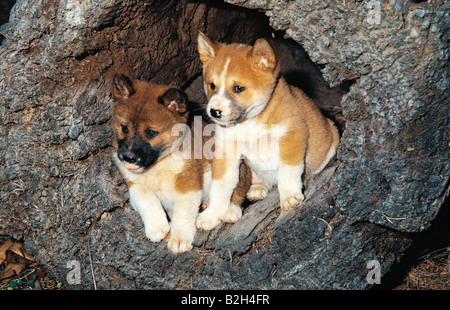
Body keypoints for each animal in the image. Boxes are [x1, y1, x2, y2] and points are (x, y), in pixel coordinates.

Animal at [109, 74, 250, 253]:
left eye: (151, 133)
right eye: (124, 128)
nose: (128, 157)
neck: (159, 165)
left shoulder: (187, 183)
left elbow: (183, 214)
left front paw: (179, 239)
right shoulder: (134, 183)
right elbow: (146, 199)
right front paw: (157, 227)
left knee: (240, 187)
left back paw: (230, 210)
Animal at [195, 33, 340, 230]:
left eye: (238, 88)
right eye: (212, 85)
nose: (214, 112)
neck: (249, 124)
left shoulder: (291, 138)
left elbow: (288, 172)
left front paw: (289, 196)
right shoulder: (226, 154)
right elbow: (219, 188)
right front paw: (211, 215)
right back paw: (257, 188)